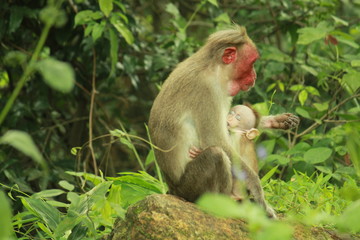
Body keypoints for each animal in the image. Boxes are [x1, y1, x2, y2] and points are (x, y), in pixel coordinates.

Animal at [148, 25, 276, 218]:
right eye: (252, 63)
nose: (254, 76)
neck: (215, 68)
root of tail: (173, 190)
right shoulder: (208, 90)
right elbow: (215, 140)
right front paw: (257, 189)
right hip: (190, 188)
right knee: (216, 155)